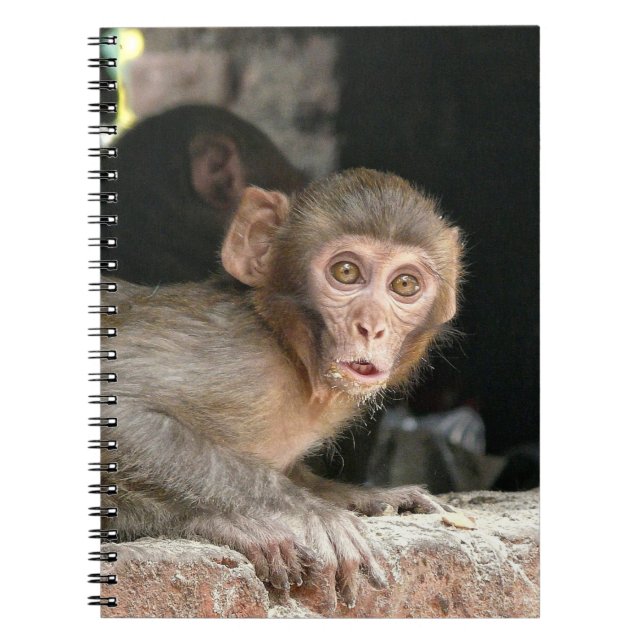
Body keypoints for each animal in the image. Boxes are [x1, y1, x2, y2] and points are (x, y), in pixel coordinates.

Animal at [101, 168, 469, 609]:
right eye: (346, 273)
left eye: (405, 285)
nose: (372, 326)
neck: (292, 355)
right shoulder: (238, 357)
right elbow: (118, 410)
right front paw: (309, 512)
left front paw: (367, 497)